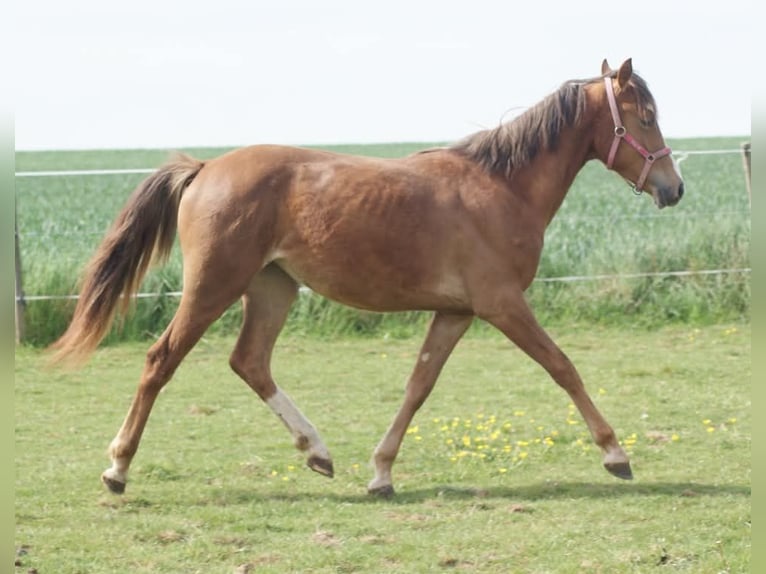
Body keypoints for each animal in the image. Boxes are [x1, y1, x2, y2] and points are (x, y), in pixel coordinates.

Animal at [51, 58, 684, 497]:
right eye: (646, 118)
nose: (674, 188)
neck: (501, 188)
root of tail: (204, 168)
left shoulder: (456, 312)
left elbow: (418, 386)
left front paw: (380, 473)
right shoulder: (502, 304)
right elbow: (562, 366)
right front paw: (616, 455)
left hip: (273, 287)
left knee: (250, 362)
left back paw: (317, 452)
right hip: (214, 285)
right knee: (161, 360)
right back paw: (117, 468)